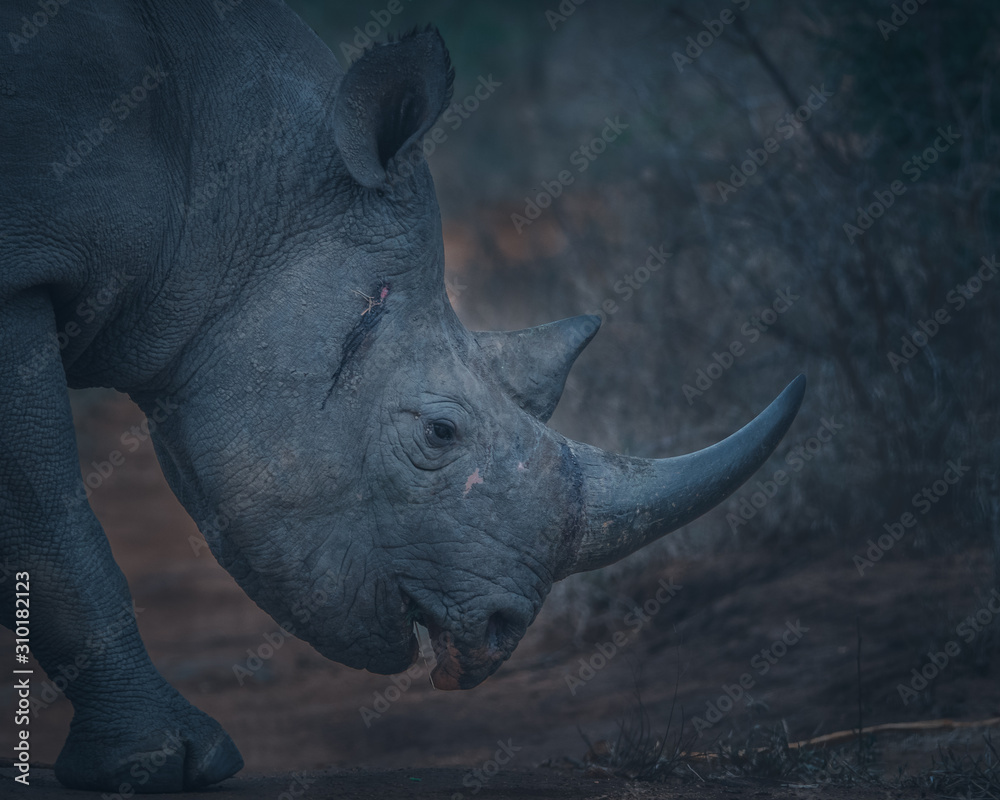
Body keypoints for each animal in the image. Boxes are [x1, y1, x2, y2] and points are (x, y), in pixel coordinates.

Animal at [0, 0, 805, 792]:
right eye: (439, 434)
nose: (501, 632)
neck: (223, 182)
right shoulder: (18, 273)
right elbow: (58, 532)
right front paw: (165, 765)